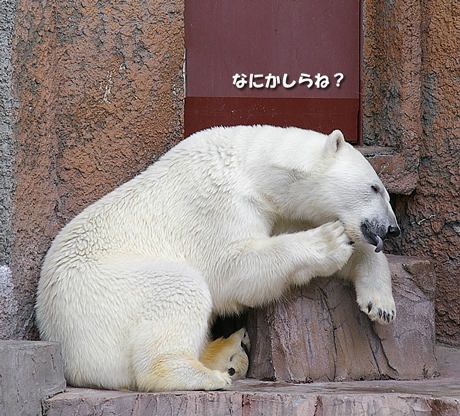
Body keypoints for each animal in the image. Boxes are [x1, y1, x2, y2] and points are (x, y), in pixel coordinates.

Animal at [36, 125, 398, 392]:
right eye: (374, 187)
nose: (392, 228)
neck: (252, 168)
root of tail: (55, 334)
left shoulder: (278, 212)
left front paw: (381, 304)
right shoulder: (218, 205)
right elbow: (232, 269)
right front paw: (330, 240)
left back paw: (231, 350)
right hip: (105, 292)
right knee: (178, 288)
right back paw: (204, 375)